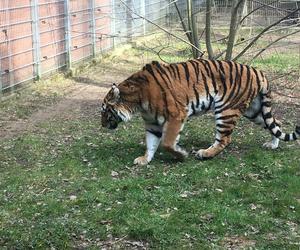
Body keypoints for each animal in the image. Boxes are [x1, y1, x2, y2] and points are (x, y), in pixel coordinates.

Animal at [100, 57, 298, 165]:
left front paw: (181, 154)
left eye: (105, 111)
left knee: (224, 139)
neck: (137, 101)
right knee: (276, 123)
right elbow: (151, 143)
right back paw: (272, 145)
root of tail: (258, 72)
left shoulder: (176, 115)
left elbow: (167, 142)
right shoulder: (152, 123)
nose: (101, 125)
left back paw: (205, 153)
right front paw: (144, 159)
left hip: (226, 109)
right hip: (254, 111)